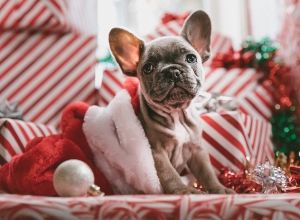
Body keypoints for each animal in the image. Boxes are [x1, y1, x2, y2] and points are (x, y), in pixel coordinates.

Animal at [109, 10, 233, 193]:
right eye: (148, 68)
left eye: (191, 58)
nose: (172, 71)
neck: (176, 113)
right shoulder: (157, 154)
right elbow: (170, 175)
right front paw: (184, 191)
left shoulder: (197, 150)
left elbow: (207, 172)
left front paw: (218, 189)